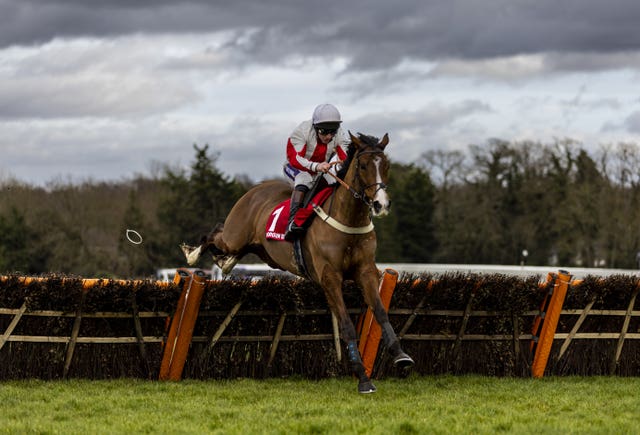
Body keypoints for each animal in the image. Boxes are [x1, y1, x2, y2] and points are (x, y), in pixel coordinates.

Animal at [181, 131, 416, 394]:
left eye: (386, 165)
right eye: (363, 165)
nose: (380, 204)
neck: (348, 220)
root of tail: (255, 189)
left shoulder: (365, 271)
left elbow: (381, 312)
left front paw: (401, 355)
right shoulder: (329, 277)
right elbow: (346, 324)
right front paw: (363, 377)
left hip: (262, 251)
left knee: (234, 249)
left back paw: (226, 263)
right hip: (234, 236)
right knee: (215, 233)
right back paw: (193, 253)